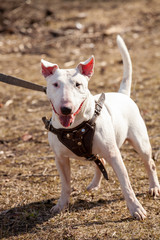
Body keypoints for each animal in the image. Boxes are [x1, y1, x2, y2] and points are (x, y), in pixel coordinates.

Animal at [40, 34, 159, 220]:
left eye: (78, 84)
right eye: (55, 84)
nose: (66, 109)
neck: (75, 128)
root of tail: (122, 94)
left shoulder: (114, 155)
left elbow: (126, 185)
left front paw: (136, 209)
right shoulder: (60, 159)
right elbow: (65, 185)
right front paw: (61, 206)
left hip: (141, 142)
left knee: (150, 163)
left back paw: (154, 187)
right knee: (99, 161)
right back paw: (94, 185)